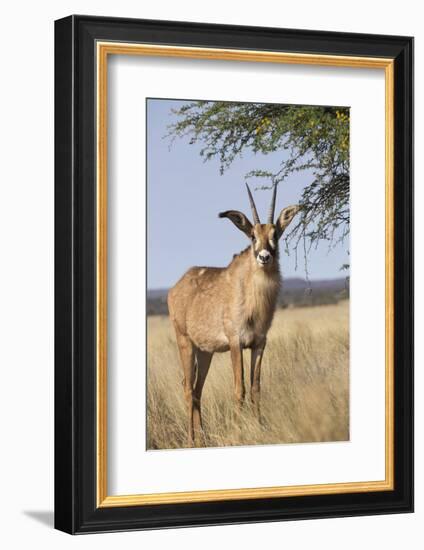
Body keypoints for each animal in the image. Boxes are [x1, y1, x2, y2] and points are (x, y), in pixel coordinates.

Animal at [167, 185, 300, 448]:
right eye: (252, 236)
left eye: (276, 234)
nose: (264, 257)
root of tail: (176, 287)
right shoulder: (236, 342)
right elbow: (239, 389)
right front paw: (239, 432)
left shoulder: (259, 343)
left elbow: (256, 387)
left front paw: (260, 426)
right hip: (184, 342)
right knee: (188, 388)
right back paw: (190, 440)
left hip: (205, 352)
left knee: (197, 390)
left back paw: (203, 438)